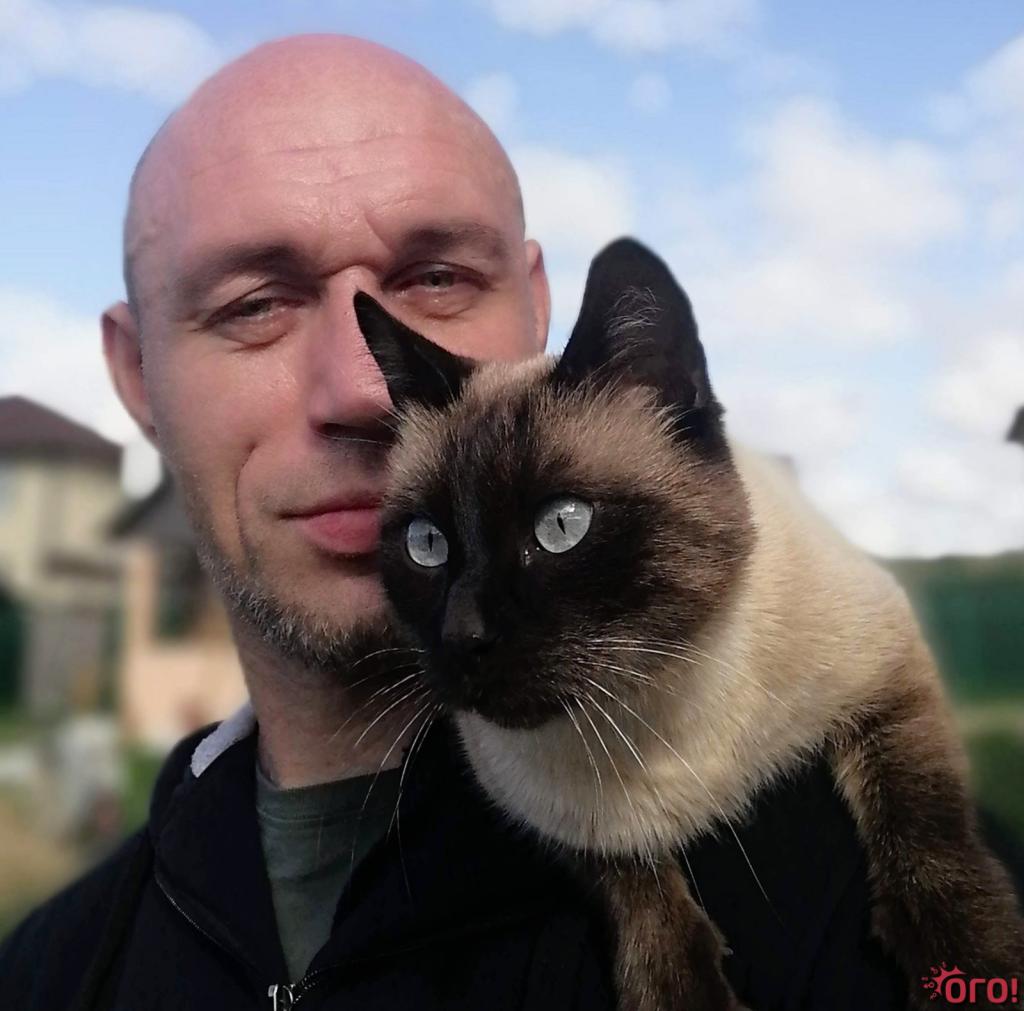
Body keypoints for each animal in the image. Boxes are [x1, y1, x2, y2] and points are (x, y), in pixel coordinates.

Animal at [352, 238, 1024, 1010]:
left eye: (561, 526)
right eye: (426, 544)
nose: (464, 639)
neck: (645, 701)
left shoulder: (887, 670)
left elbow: (923, 814)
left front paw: (969, 963)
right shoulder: (544, 815)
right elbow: (634, 882)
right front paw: (682, 992)